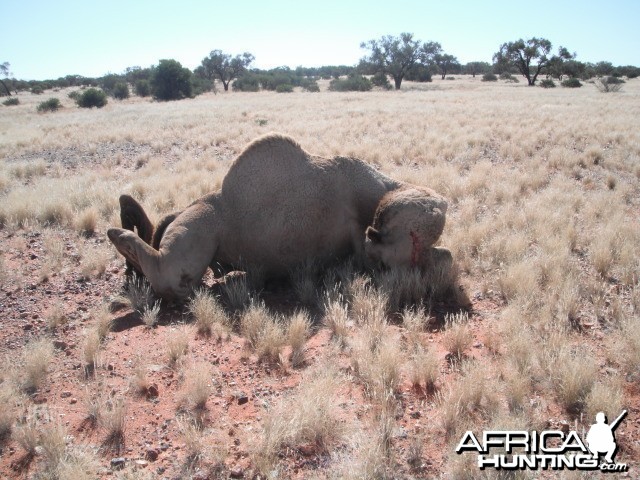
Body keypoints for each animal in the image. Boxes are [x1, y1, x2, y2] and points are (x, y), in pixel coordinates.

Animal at [109, 134, 450, 300]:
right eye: (403, 238)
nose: (373, 240)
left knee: (170, 279)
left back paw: (123, 237)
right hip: (201, 229)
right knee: (170, 276)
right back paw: (121, 234)